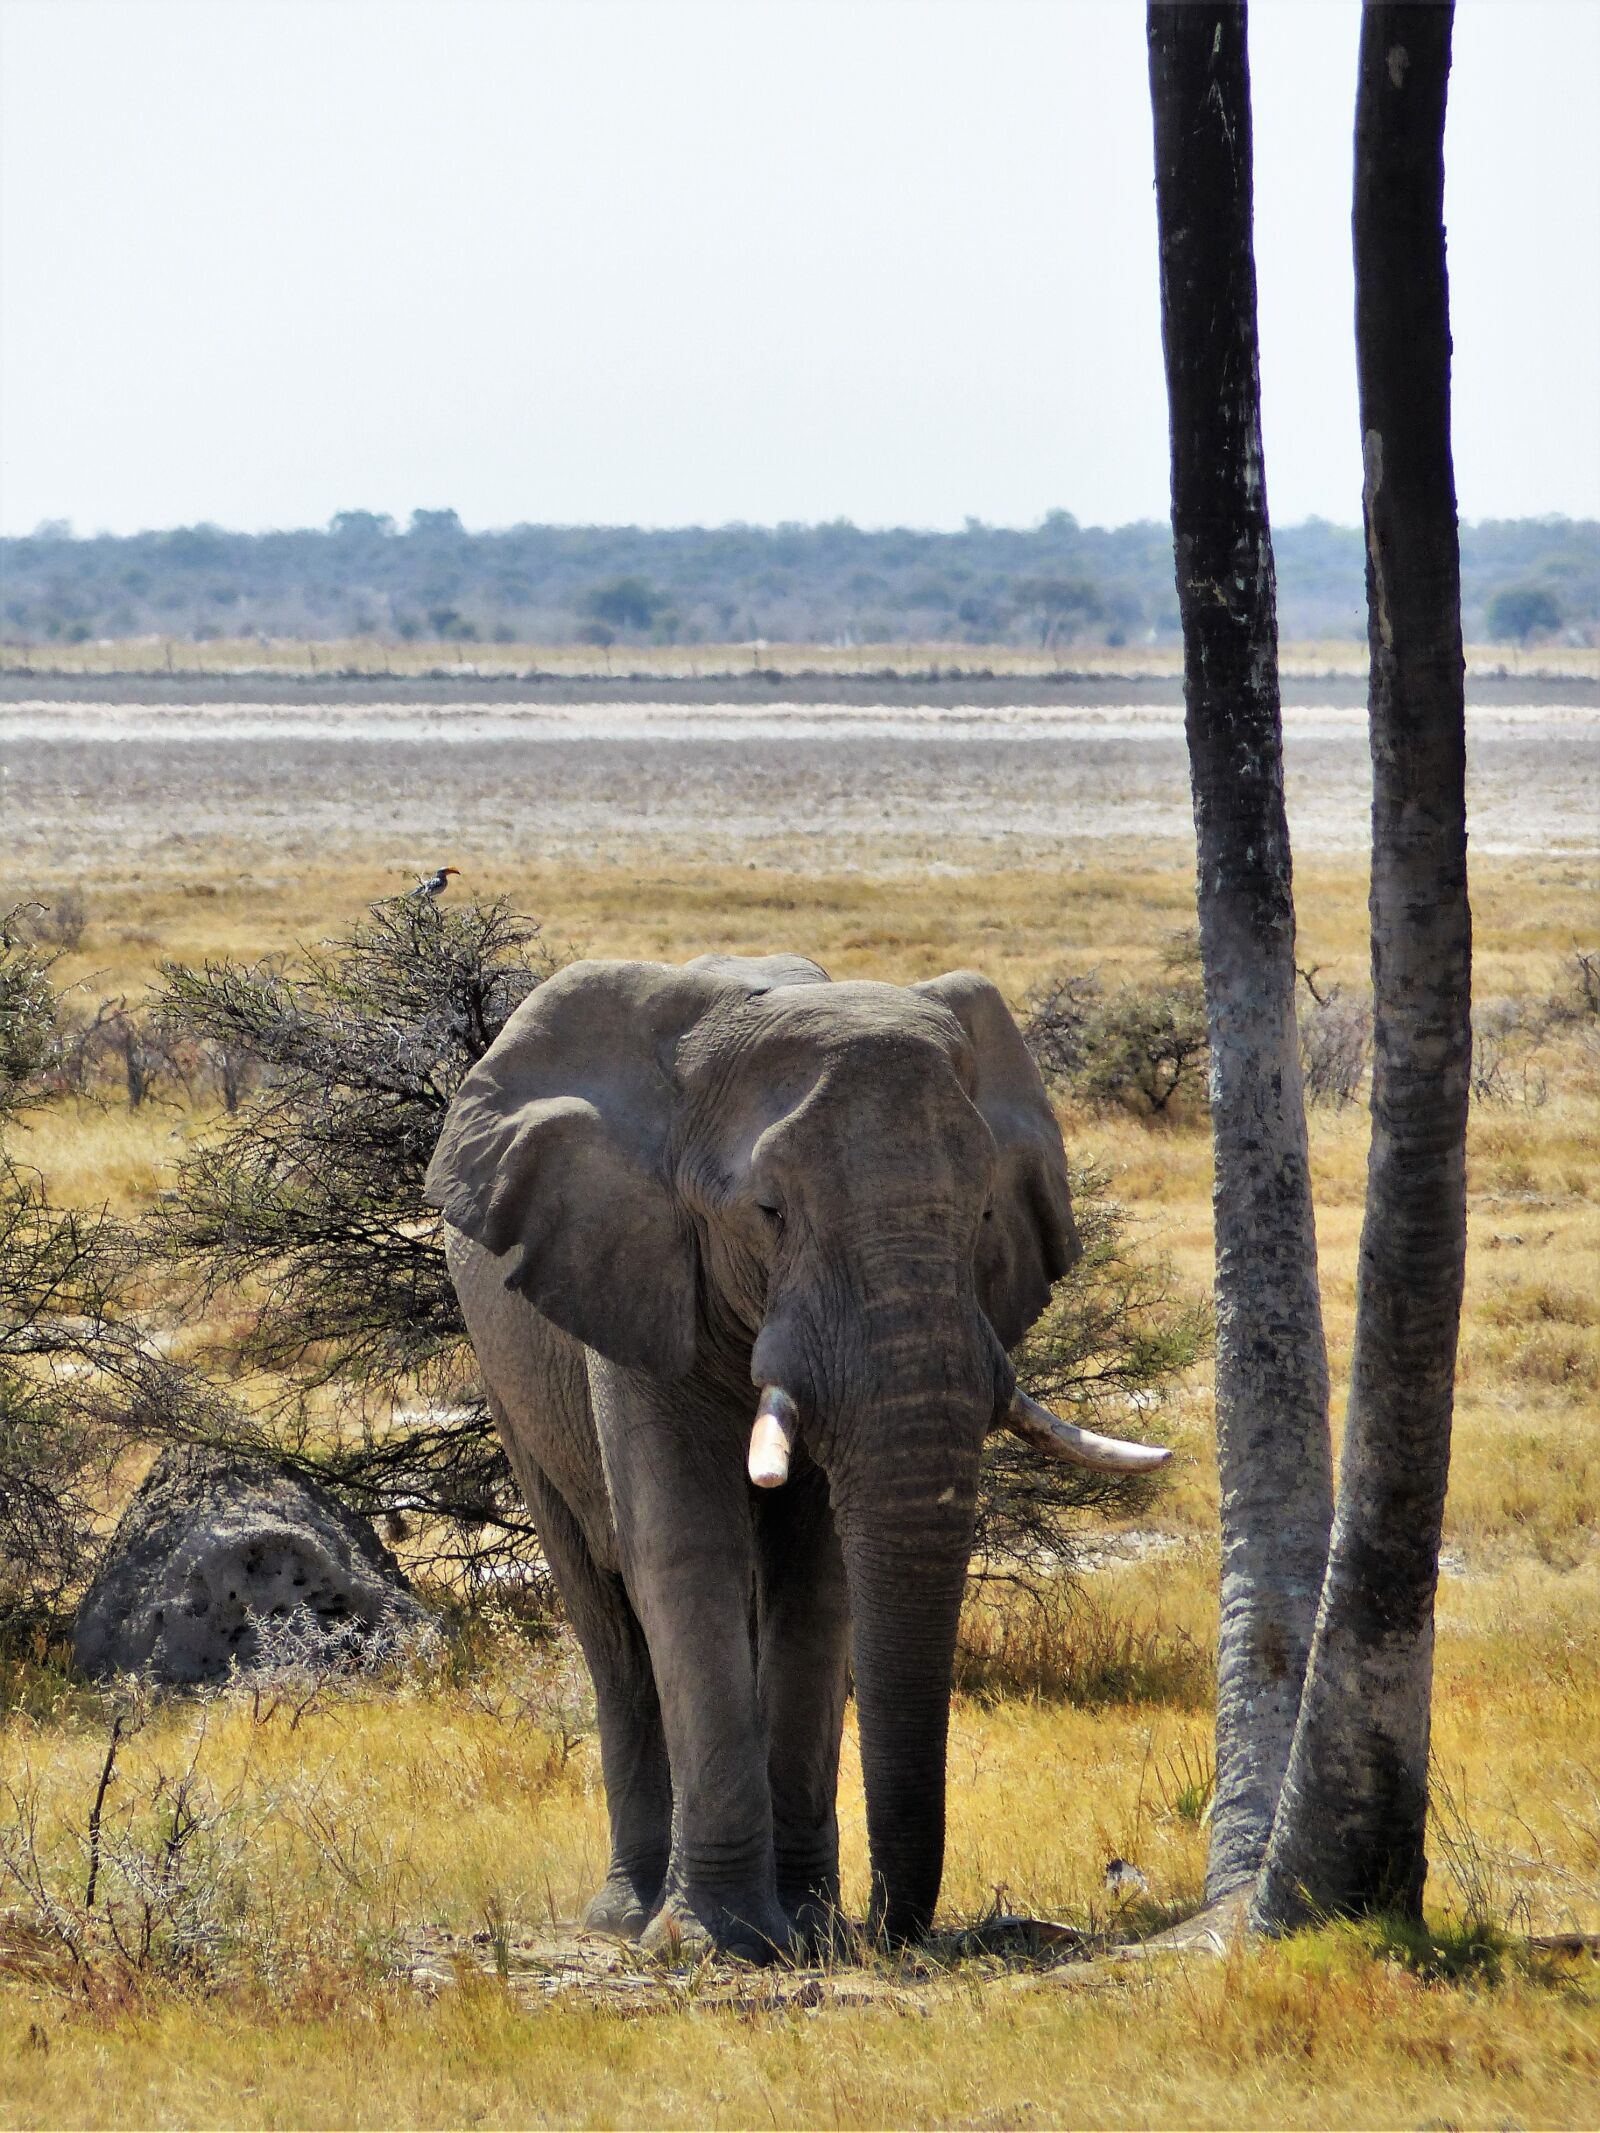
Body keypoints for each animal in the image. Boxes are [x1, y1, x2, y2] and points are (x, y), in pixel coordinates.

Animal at [424, 952, 1168, 1962]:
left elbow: (816, 1576)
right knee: (605, 1614)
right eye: (769, 1211)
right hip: (505, 1370)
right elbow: (683, 1550)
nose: (891, 1932)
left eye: (983, 1211)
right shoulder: (636, 1268)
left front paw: (808, 1930)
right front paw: (712, 1943)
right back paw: (625, 1916)